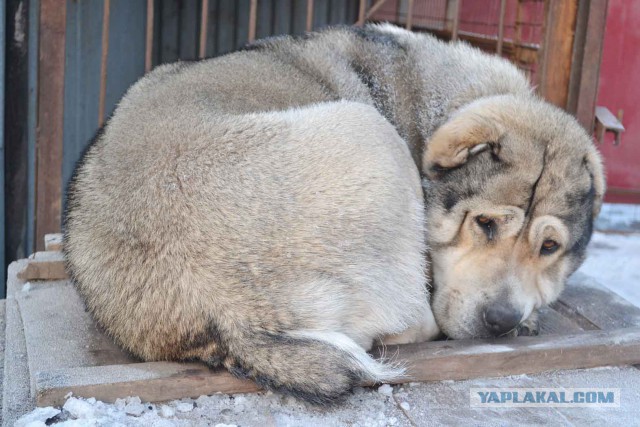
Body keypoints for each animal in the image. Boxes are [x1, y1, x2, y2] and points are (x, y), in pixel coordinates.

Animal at [64, 24, 604, 404]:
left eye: (549, 247)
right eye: (484, 224)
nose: (501, 321)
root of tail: (224, 312)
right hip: (370, 131)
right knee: (408, 321)